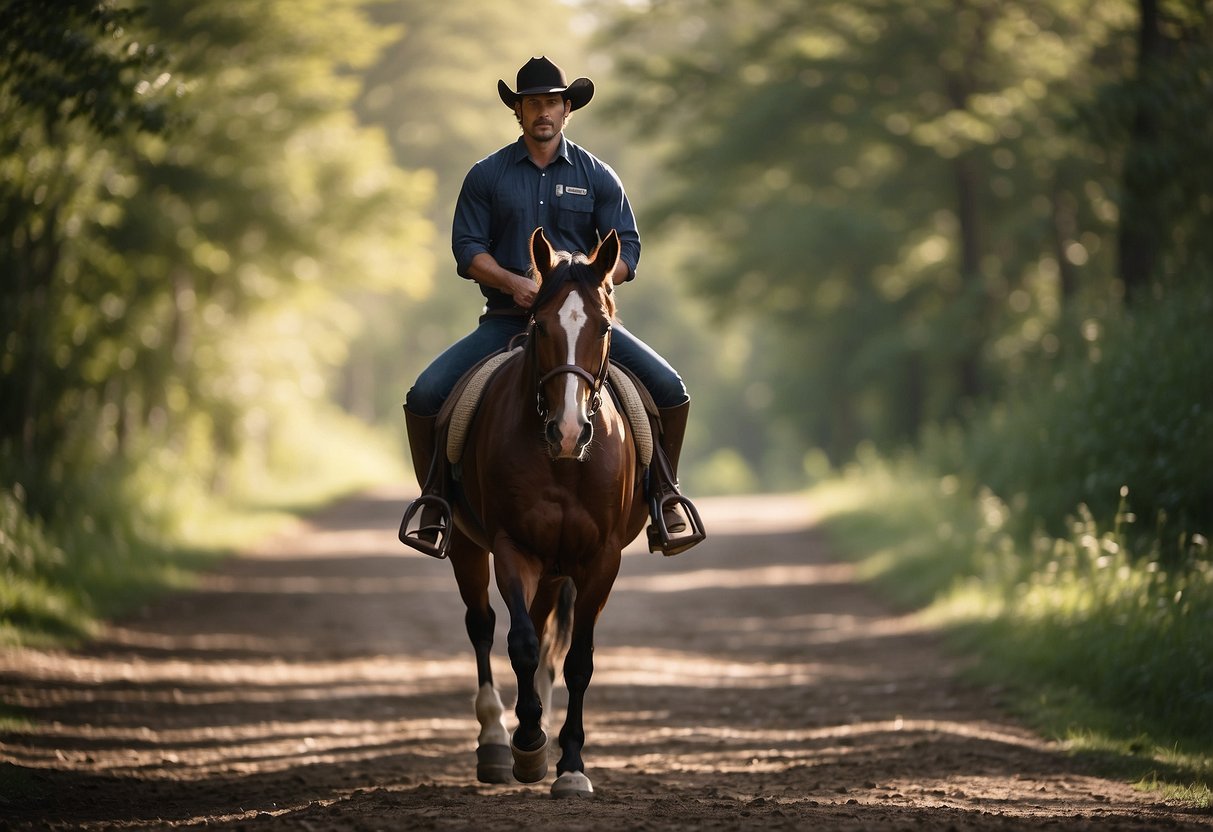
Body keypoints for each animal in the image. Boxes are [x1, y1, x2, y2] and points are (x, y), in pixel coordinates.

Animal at [448, 224, 655, 800]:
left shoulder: (602, 559)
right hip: (469, 548)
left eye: (603, 327)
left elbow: (577, 660)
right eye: (539, 326)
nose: (567, 431)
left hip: (556, 566)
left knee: (544, 634)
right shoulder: (510, 547)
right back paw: (497, 741)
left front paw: (571, 766)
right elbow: (517, 642)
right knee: (482, 625)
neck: (562, 464)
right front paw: (528, 746)